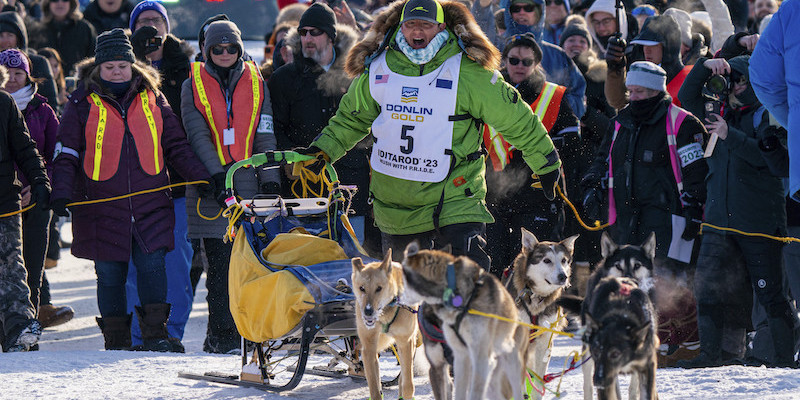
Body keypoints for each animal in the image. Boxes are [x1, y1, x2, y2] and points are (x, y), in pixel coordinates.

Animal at [354, 250, 422, 400]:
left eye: (379, 288)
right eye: (362, 288)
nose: (368, 311)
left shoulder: (405, 342)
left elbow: (408, 384)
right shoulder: (368, 347)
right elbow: (374, 387)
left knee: (403, 376)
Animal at [496, 228, 580, 400]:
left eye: (564, 260)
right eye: (547, 260)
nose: (563, 276)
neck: (535, 296)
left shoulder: (544, 341)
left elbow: (539, 379)